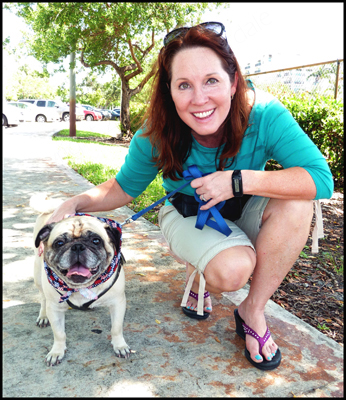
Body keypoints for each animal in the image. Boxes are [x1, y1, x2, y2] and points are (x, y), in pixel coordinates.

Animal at [30, 194, 130, 366]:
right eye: (59, 243)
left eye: (96, 241)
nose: (77, 246)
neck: (82, 287)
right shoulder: (55, 309)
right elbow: (59, 334)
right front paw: (56, 351)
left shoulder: (117, 303)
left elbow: (116, 328)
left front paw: (120, 345)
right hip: (38, 275)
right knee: (43, 298)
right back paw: (43, 316)